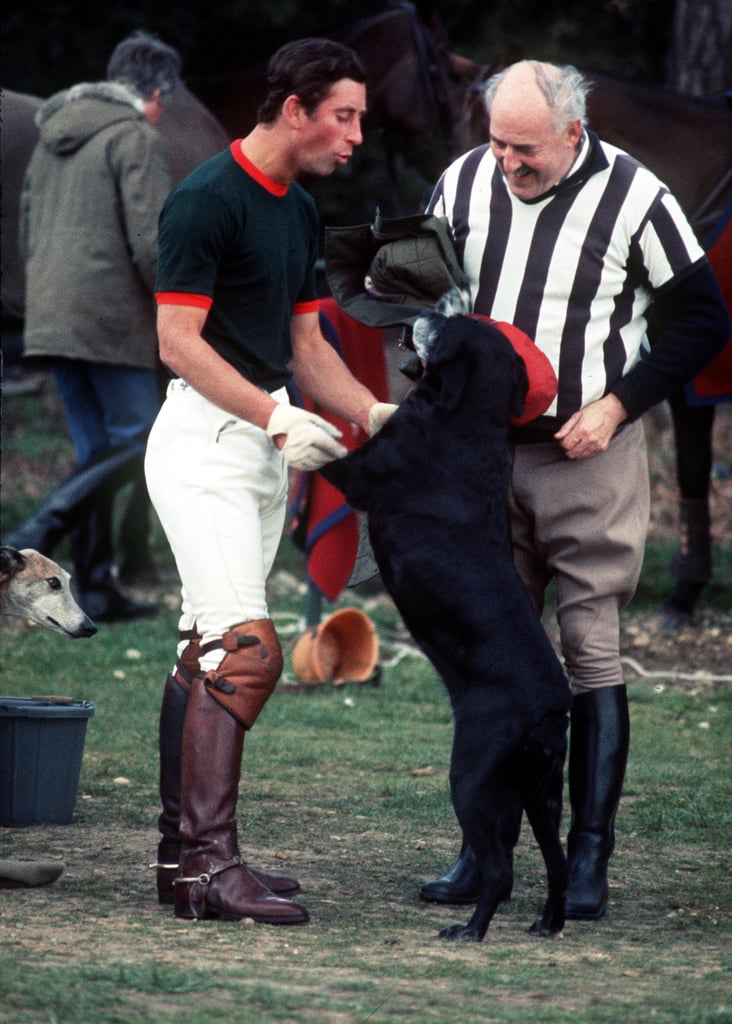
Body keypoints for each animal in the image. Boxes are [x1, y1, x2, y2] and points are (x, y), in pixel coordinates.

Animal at [321, 292, 573, 937]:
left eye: (453, 327)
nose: (431, 308)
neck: (467, 418)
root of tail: (550, 706)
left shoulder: (356, 472)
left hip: (472, 776)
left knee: (501, 867)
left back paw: (472, 929)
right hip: (540, 790)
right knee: (554, 859)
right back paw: (547, 922)